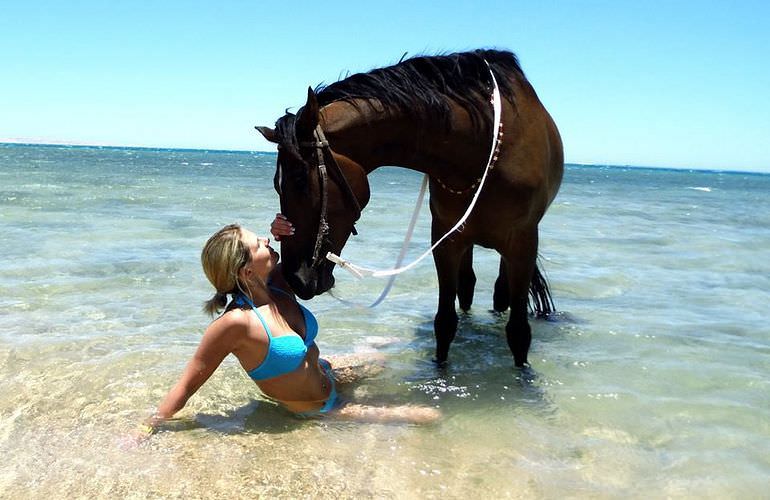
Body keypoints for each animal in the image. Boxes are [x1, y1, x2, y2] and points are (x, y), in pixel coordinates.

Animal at [255, 49, 560, 368]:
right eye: (276, 185)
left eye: (300, 180)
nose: (294, 278)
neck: (479, 149)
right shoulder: (447, 239)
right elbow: (445, 322)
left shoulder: (522, 243)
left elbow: (519, 331)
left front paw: (523, 374)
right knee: (467, 286)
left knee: (502, 292)